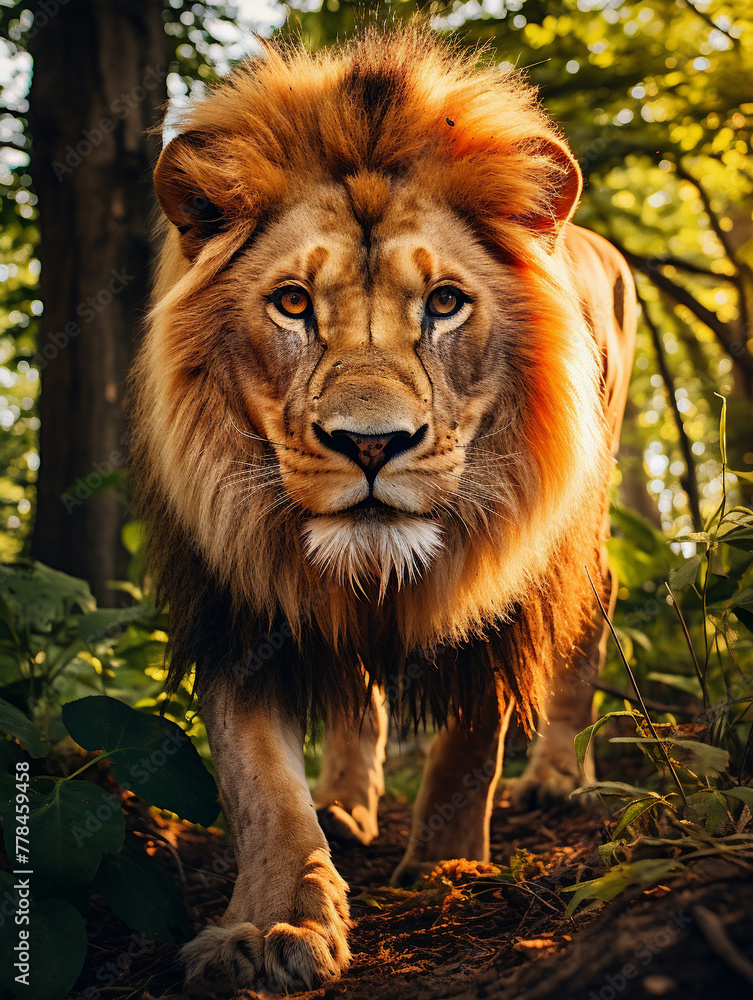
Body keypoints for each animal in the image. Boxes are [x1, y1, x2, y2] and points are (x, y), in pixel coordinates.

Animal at [130, 27, 635, 992]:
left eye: (444, 303)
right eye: (293, 303)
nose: (371, 445)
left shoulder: (503, 572)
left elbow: (472, 740)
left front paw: (445, 869)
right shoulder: (237, 594)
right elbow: (258, 784)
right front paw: (272, 923)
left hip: (584, 536)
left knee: (589, 627)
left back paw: (559, 777)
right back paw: (345, 804)